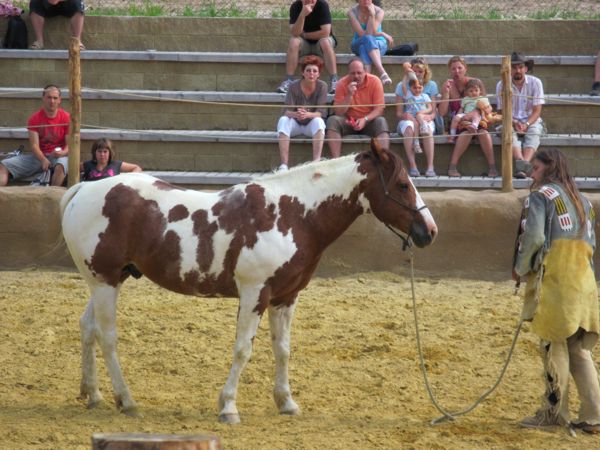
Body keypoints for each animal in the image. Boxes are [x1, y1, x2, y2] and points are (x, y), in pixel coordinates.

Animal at [61, 140, 436, 422]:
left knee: (86, 327)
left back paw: (92, 393)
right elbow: (243, 349)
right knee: (107, 337)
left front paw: (286, 402)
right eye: (402, 185)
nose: (429, 231)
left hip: (107, 280)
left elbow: (282, 349)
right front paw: (228, 406)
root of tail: (82, 190)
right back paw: (126, 400)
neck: (292, 214)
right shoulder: (255, 293)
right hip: (106, 282)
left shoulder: (286, 297)